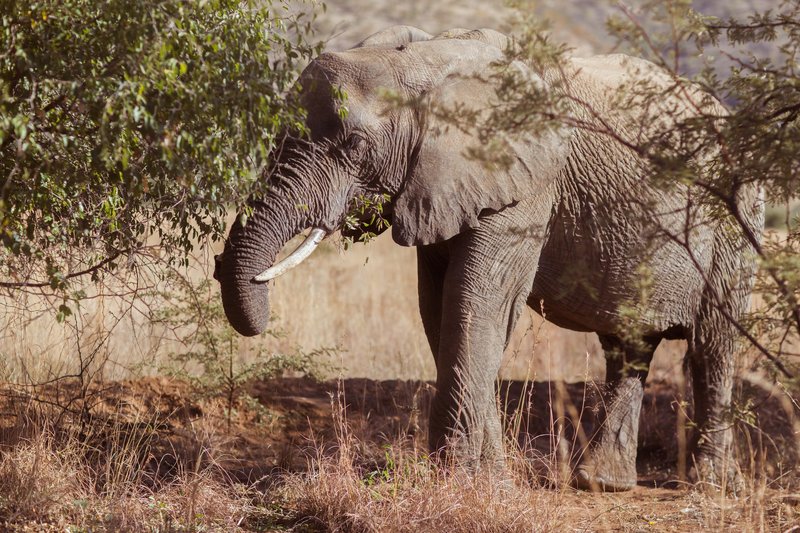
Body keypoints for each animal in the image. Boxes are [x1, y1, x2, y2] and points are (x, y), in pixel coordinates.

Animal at [212, 26, 764, 490]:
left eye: (354, 144)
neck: (426, 60)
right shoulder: (440, 185)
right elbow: (440, 309)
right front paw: (490, 482)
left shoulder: (529, 186)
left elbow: (477, 304)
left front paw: (461, 483)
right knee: (629, 347)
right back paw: (604, 484)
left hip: (737, 221)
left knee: (713, 344)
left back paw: (711, 487)